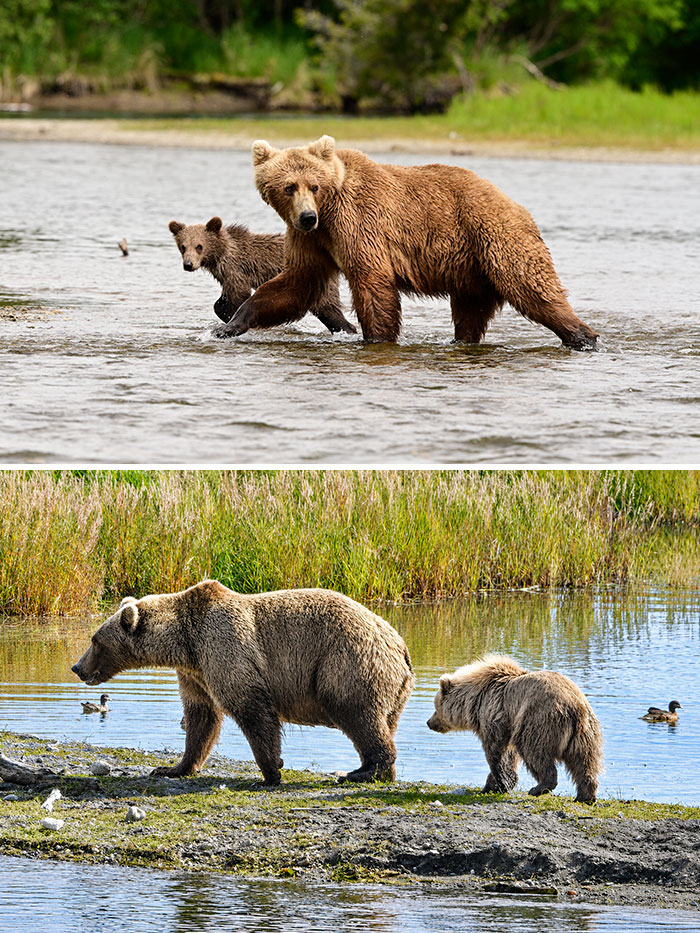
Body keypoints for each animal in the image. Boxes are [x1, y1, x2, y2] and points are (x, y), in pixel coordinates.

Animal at [71, 580, 413, 786]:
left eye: (95, 640)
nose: (76, 667)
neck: (185, 643)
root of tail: (400, 645)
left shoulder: (226, 647)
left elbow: (251, 707)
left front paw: (271, 771)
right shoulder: (196, 673)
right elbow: (201, 719)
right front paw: (174, 767)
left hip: (348, 662)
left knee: (356, 713)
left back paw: (362, 771)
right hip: (389, 686)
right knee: (382, 721)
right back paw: (380, 773)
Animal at [168, 216, 356, 334]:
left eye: (199, 246)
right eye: (183, 246)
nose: (188, 265)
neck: (220, 254)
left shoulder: (236, 269)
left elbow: (238, 296)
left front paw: (231, 314)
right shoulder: (224, 274)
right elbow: (222, 300)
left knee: (327, 308)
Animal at [214, 136, 598, 350]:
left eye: (315, 185)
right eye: (289, 186)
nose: (307, 216)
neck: (329, 209)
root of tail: (519, 207)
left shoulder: (357, 223)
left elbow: (373, 283)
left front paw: (375, 339)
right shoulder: (315, 242)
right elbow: (294, 285)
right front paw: (229, 325)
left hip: (496, 238)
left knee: (533, 288)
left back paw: (584, 338)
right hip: (470, 271)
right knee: (470, 314)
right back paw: (460, 341)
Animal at [427, 654, 603, 803]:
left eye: (436, 707)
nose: (429, 722)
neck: (477, 701)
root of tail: (574, 707)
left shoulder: (497, 715)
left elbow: (497, 752)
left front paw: (501, 783)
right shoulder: (510, 723)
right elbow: (510, 756)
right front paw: (492, 785)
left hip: (540, 720)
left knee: (534, 752)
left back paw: (539, 787)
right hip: (585, 733)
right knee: (585, 762)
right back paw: (585, 796)